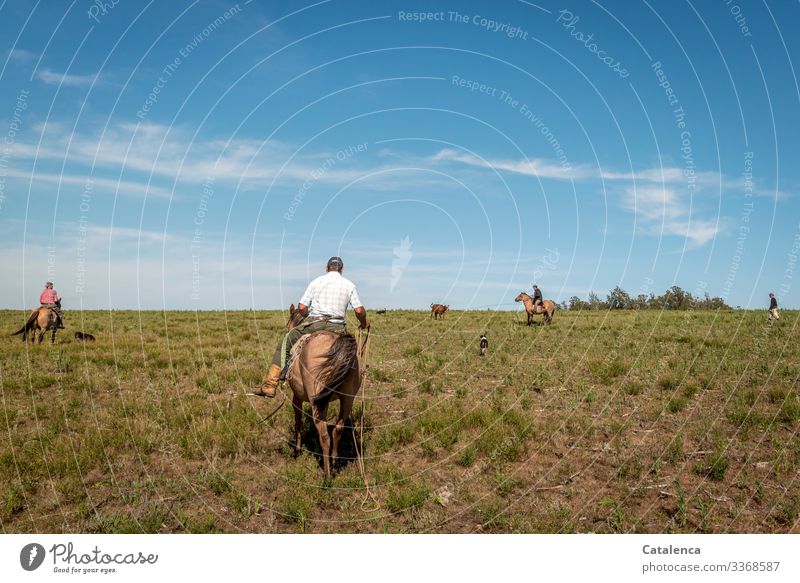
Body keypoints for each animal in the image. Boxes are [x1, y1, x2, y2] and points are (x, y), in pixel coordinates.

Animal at [284, 306, 362, 480]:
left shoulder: (296, 398)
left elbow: (298, 422)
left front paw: (296, 451)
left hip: (317, 402)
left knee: (325, 435)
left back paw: (327, 475)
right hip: (347, 399)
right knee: (338, 429)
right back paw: (335, 463)